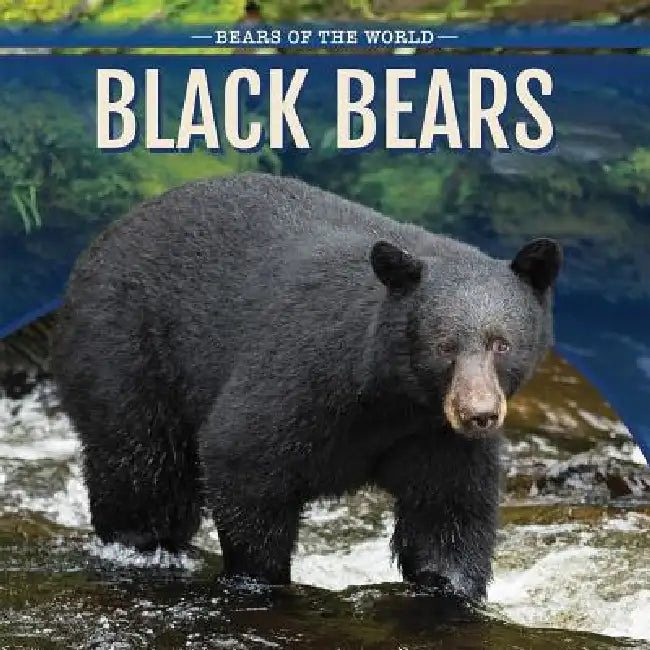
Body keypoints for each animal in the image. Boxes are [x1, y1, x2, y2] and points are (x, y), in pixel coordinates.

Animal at [51, 172, 561, 601]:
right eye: (445, 345)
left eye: (501, 343)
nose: (479, 414)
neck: (391, 398)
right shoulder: (301, 372)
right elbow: (243, 455)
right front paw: (261, 578)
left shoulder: (434, 435)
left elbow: (447, 512)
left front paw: (450, 587)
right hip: (126, 350)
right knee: (142, 465)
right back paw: (145, 545)